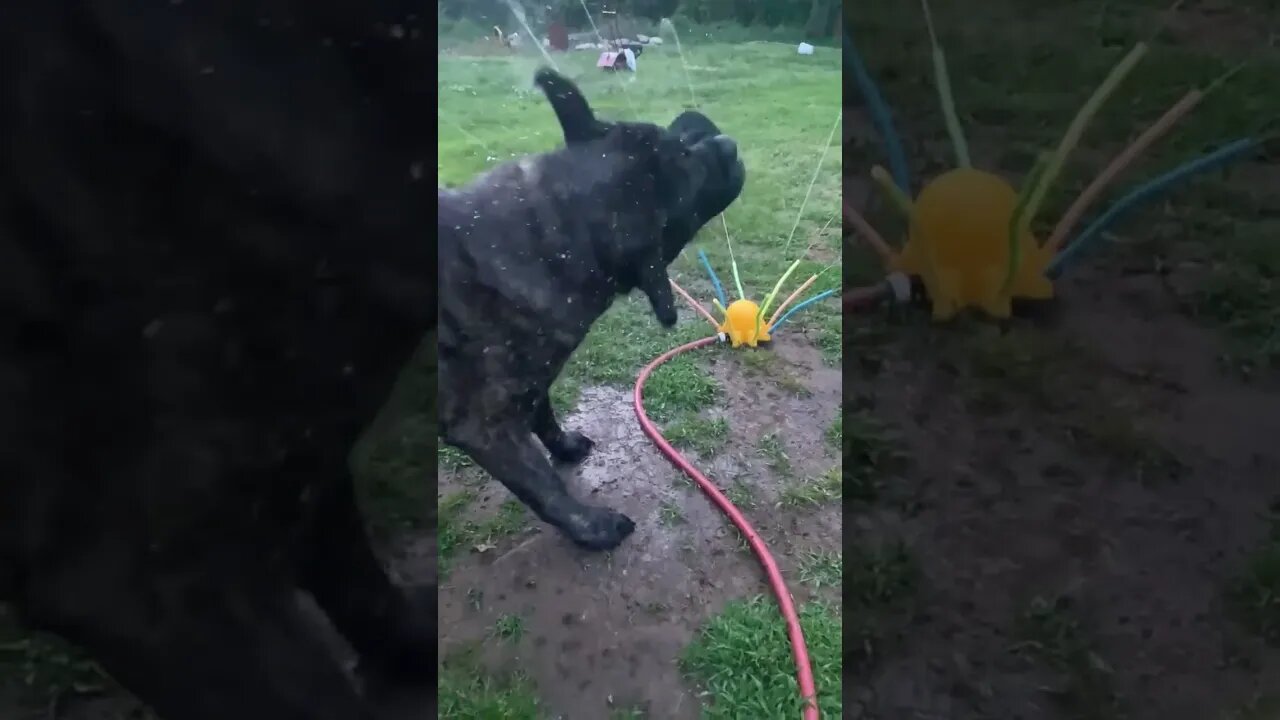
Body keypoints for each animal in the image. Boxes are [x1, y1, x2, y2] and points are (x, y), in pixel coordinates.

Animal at [437, 68, 747, 548]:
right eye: (693, 188)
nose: (729, 144)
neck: (550, 234)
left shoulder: (532, 380)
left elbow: (543, 413)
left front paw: (563, 445)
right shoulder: (485, 428)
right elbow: (544, 487)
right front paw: (591, 527)